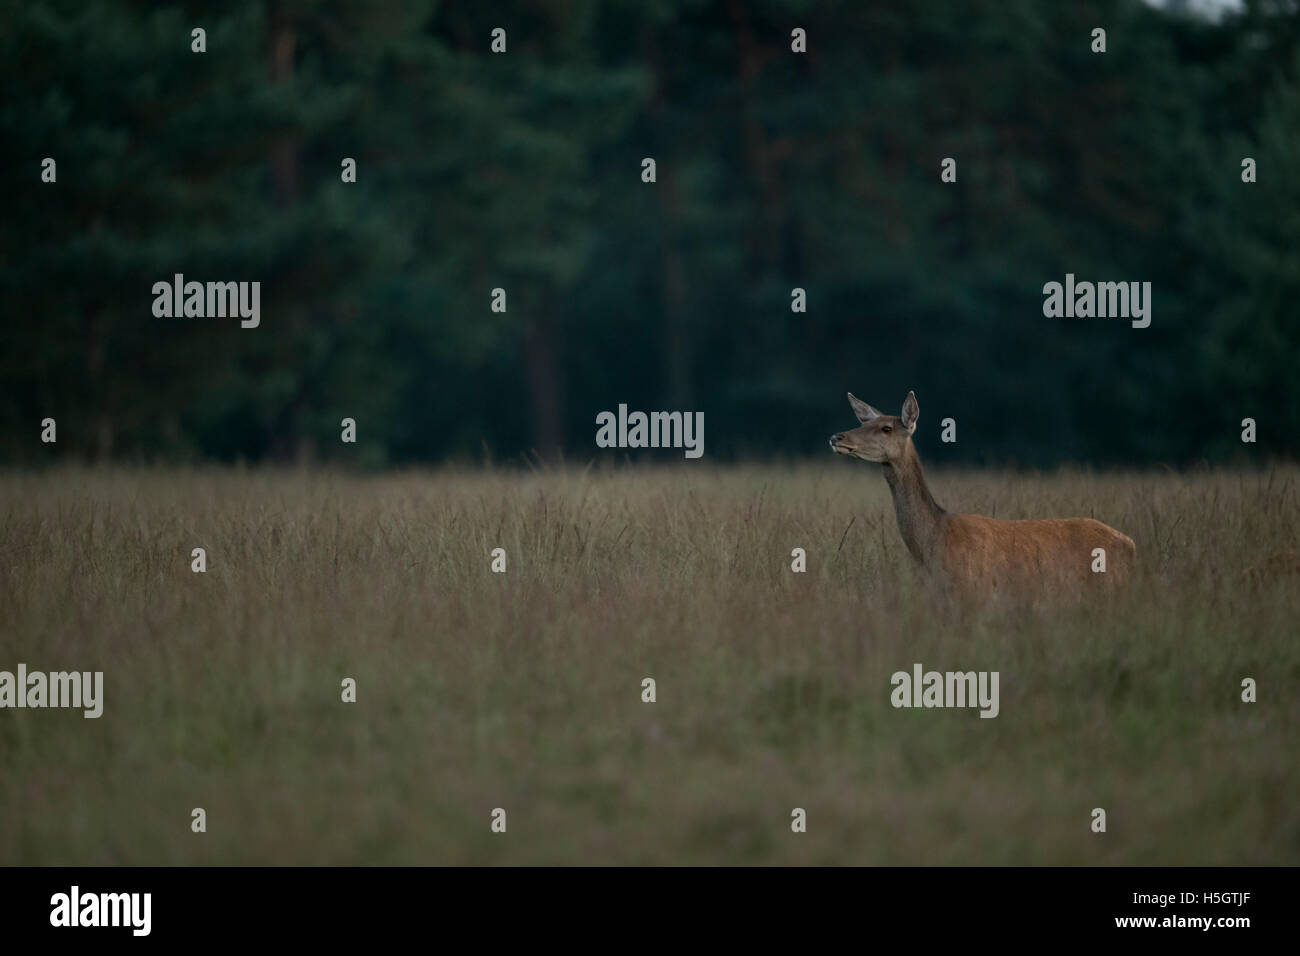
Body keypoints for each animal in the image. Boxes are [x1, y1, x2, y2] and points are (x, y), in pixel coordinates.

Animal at [832, 390, 1138, 598]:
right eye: (862, 423)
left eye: (886, 428)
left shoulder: (973, 592)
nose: (837, 437)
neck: (935, 541)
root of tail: (1130, 544)